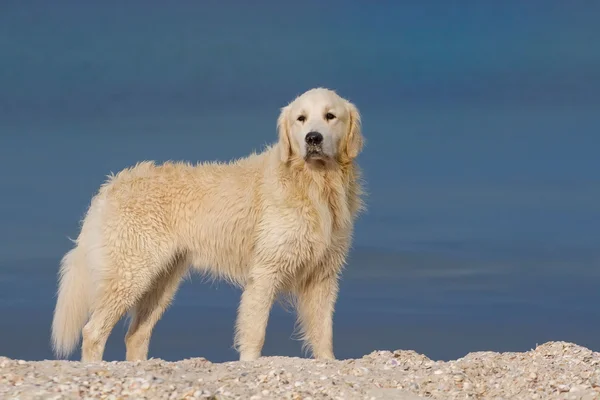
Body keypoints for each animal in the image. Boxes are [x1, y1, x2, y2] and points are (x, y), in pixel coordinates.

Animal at [50, 87, 366, 362]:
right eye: (301, 118)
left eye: (330, 116)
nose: (313, 138)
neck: (314, 184)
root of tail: (109, 187)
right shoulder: (266, 271)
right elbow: (255, 331)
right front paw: (249, 363)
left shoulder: (323, 275)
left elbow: (323, 333)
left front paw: (327, 361)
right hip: (131, 273)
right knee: (93, 332)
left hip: (161, 281)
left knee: (136, 334)